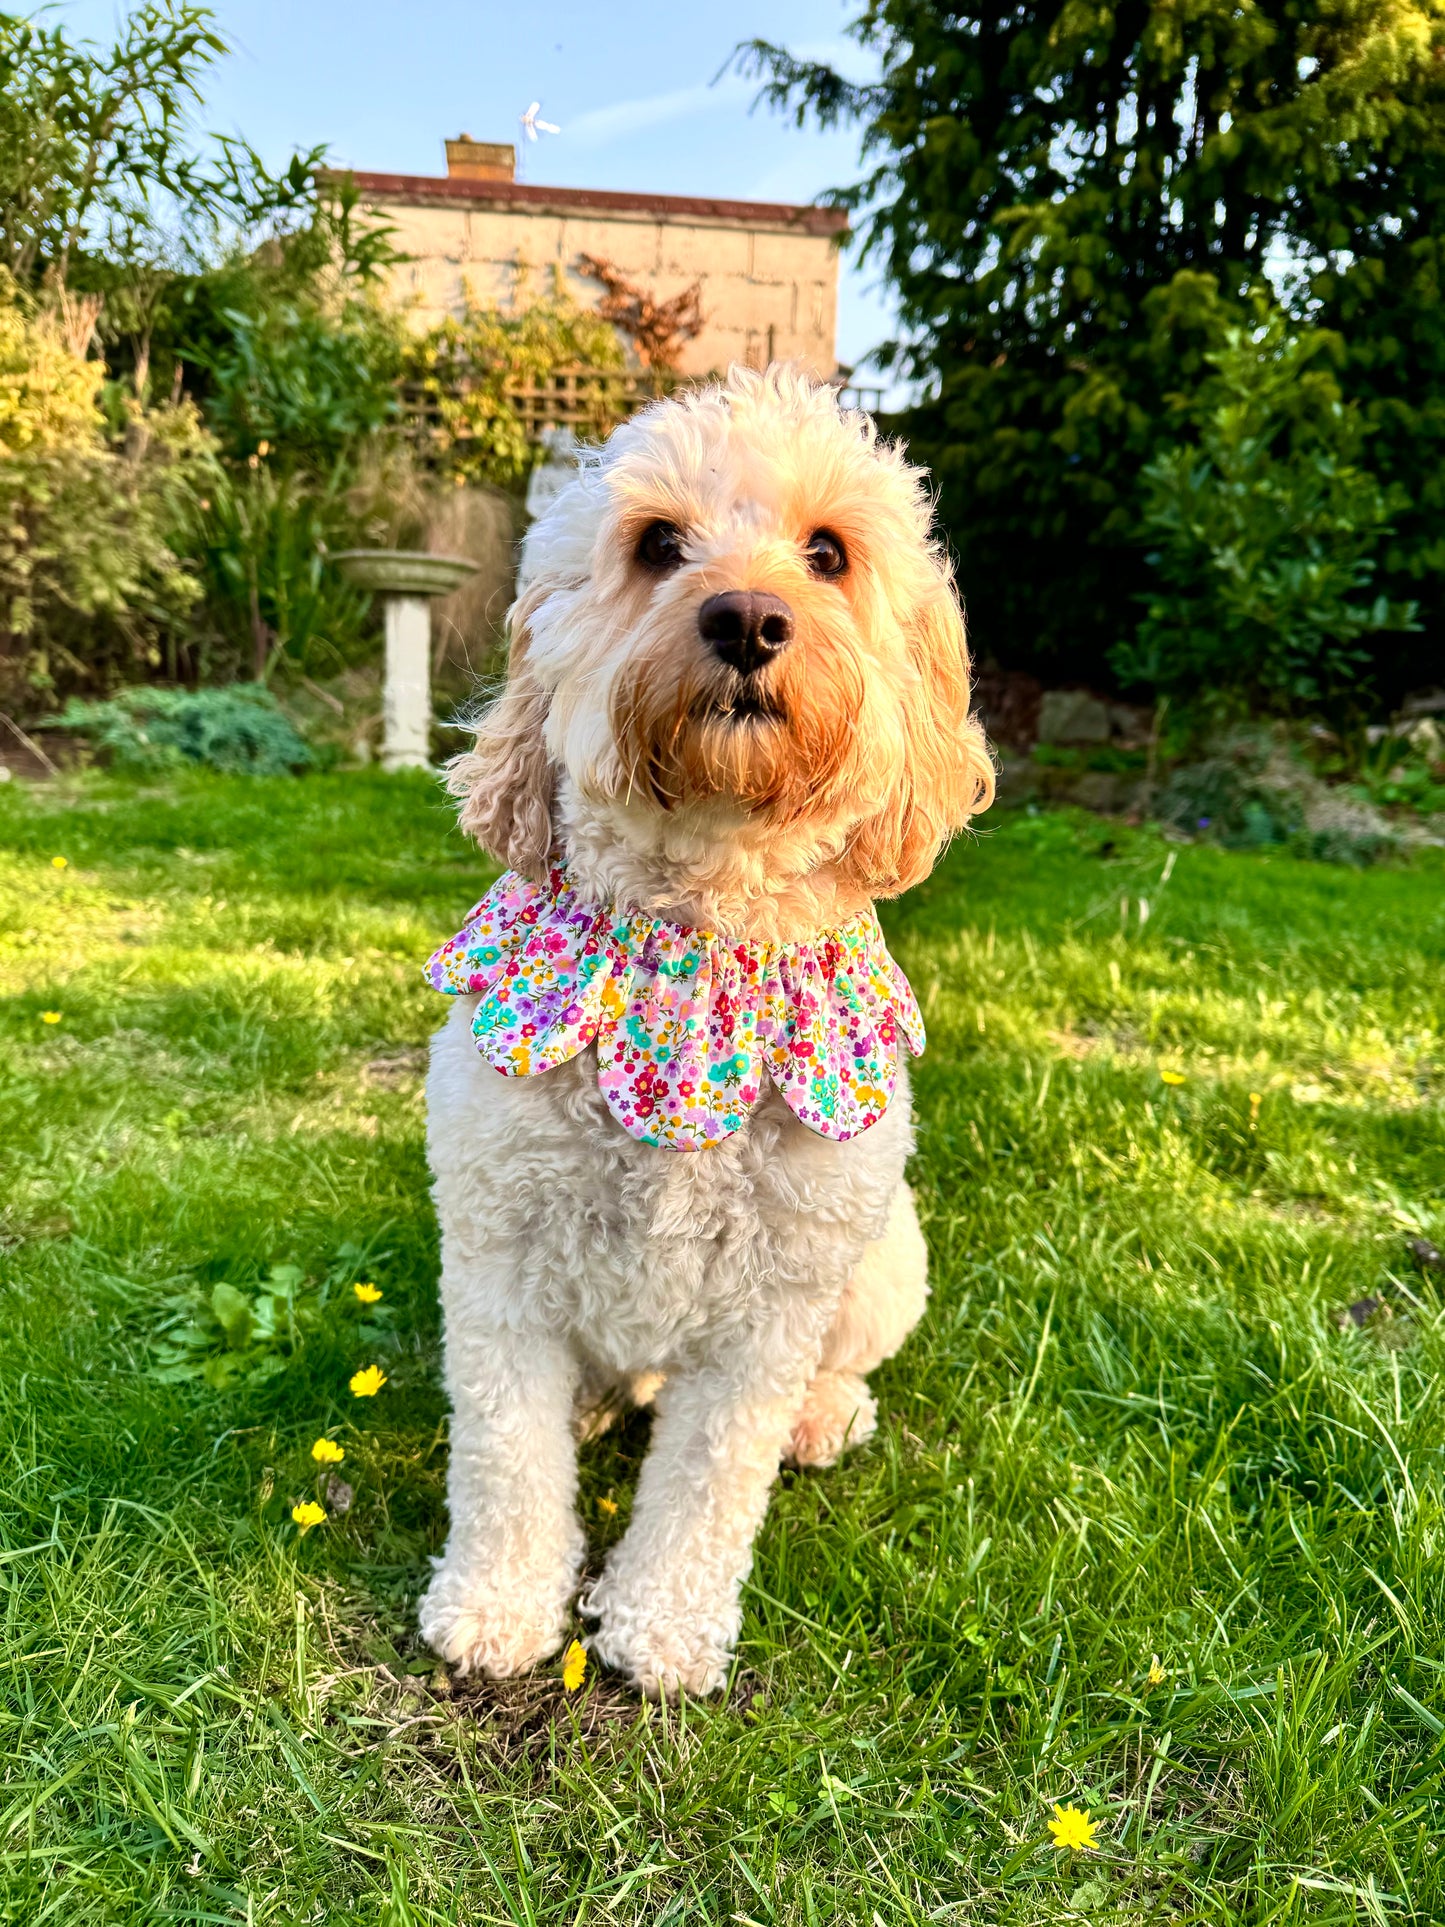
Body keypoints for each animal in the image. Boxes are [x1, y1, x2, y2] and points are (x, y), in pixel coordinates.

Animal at [418, 368, 994, 1695]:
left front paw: (662, 1629)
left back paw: (822, 1418)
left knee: (838, 1367)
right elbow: (507, 1457)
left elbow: (710, 1478)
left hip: (881, 1262)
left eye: (827, 552)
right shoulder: (495, 1259)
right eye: (655, 544)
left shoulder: (770, 1306)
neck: (697, 939)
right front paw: (497, 1605)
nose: (745, 617)